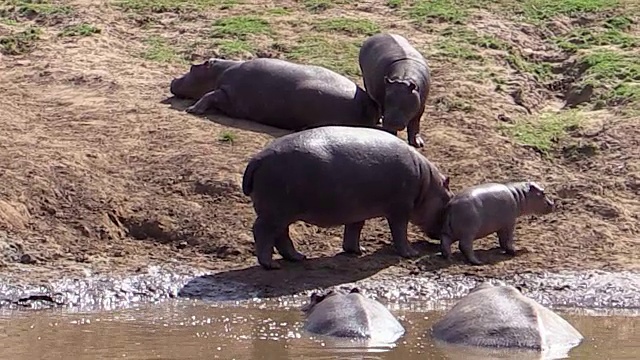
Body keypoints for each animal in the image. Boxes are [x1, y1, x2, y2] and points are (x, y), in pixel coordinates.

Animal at [169, 58, 380, 131]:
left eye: (192, 67)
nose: (172, 80)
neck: (217, 72)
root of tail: (370, 105)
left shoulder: (227, 94)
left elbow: (210, 94)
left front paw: (191, 110)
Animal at [241, 125, 456, 268]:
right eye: (449, 200)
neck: (427, 184)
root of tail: (256, 159)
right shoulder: (400, 209)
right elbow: (399, 232)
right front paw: (411, 253)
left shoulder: (357, 209)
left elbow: (354, 229)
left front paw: (358, 251)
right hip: (275, 212)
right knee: (262, 232)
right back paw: (270, 265)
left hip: (281, 214)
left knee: (281, 236)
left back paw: (298, 257)